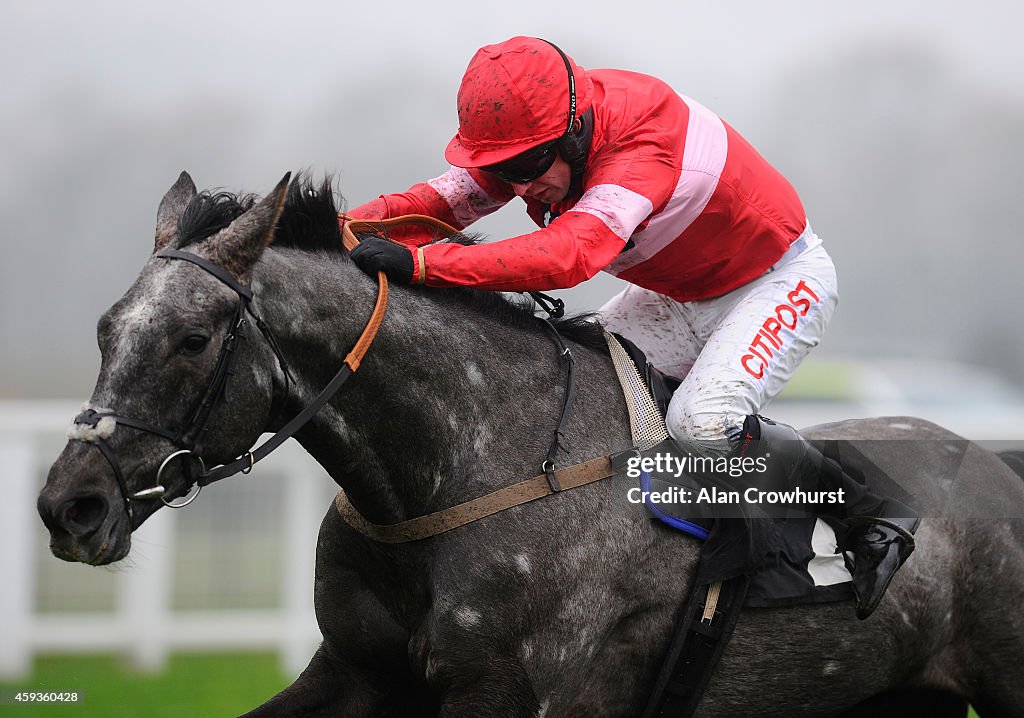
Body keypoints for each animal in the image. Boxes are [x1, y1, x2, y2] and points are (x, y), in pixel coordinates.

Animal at [37, 175, 1024, 716]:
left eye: (192, 339)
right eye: (105, 327)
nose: (68, 506)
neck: (460, 471)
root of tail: (994, 465)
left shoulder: (507, 691)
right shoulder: (356, 672)